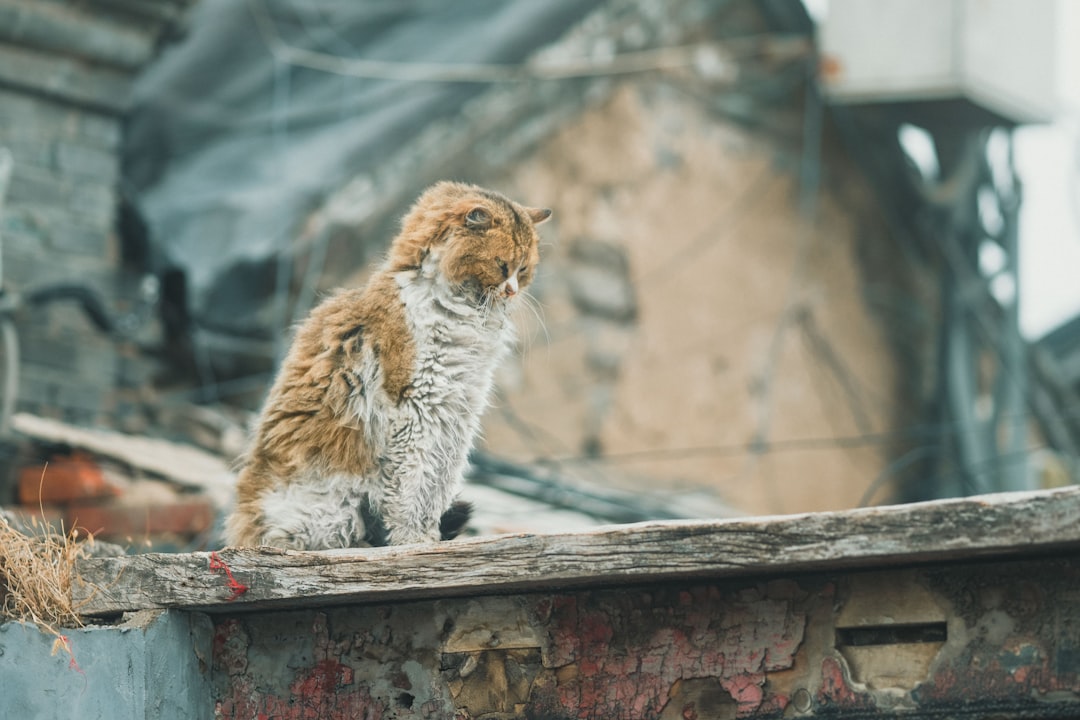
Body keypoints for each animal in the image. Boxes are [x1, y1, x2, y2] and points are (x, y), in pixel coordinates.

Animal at [225, 183, 548, 548]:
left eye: (524, 270)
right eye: (502, 265)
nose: (512, 291)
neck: (461, 313)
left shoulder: (455, 418)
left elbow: (435, 489)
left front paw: (428, 536)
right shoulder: (420, 411)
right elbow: (412, 491)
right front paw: (415, 540)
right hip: (324, 510)